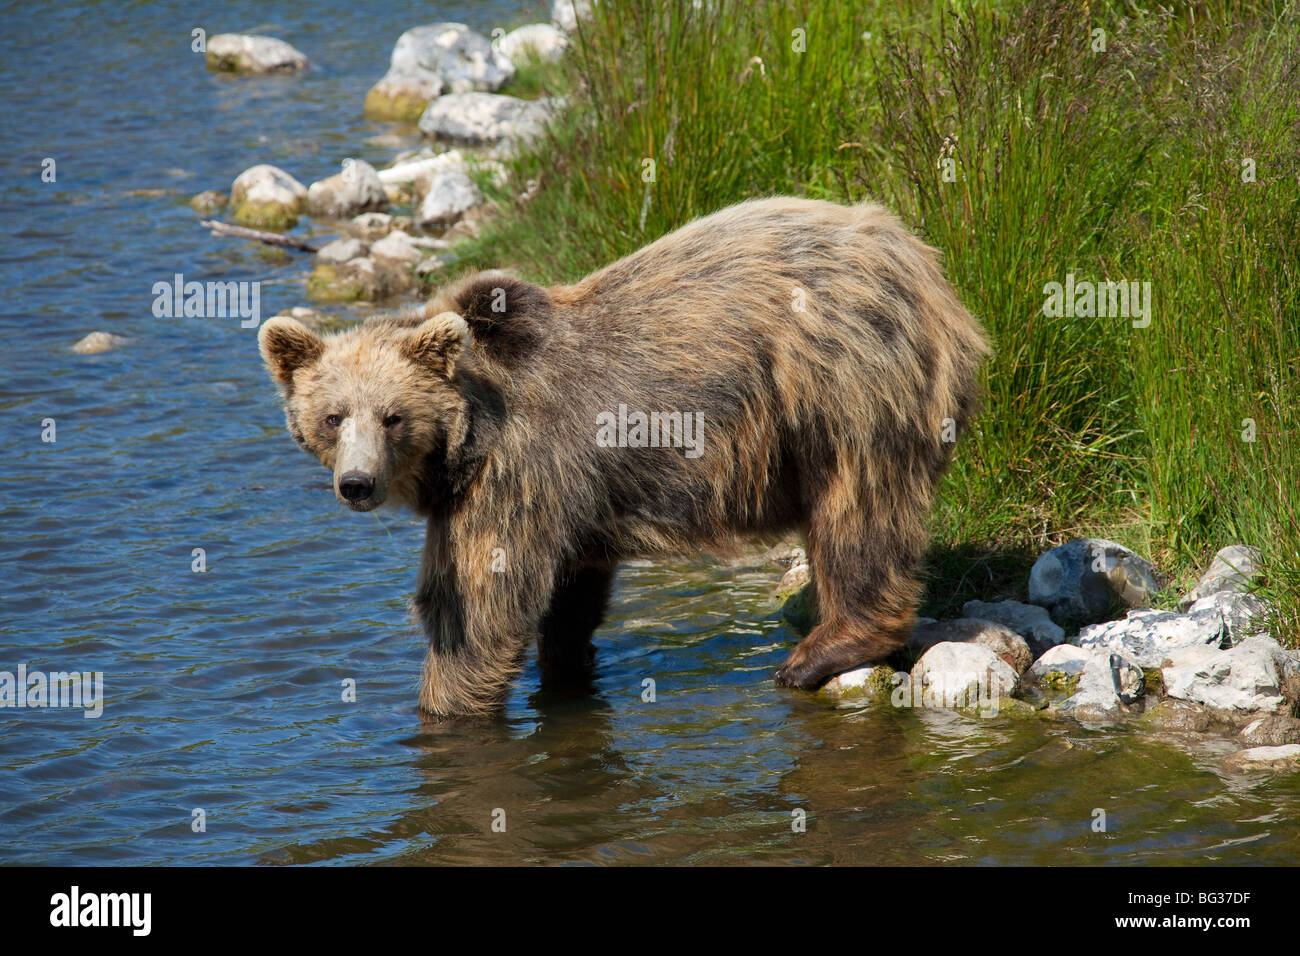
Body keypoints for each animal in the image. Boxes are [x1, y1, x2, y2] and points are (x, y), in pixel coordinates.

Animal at [257, 197, 990, 717]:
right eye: (331, 417)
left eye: (393, 416)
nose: (357, 483)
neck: (463, 447)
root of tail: (915, 255)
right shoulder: (568, 495)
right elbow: (568, 591)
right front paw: (565, 669)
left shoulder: (512, 470)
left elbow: (478, 603)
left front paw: (445, 704)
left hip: (840, 379)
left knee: (856, 507)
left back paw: (816, 652)